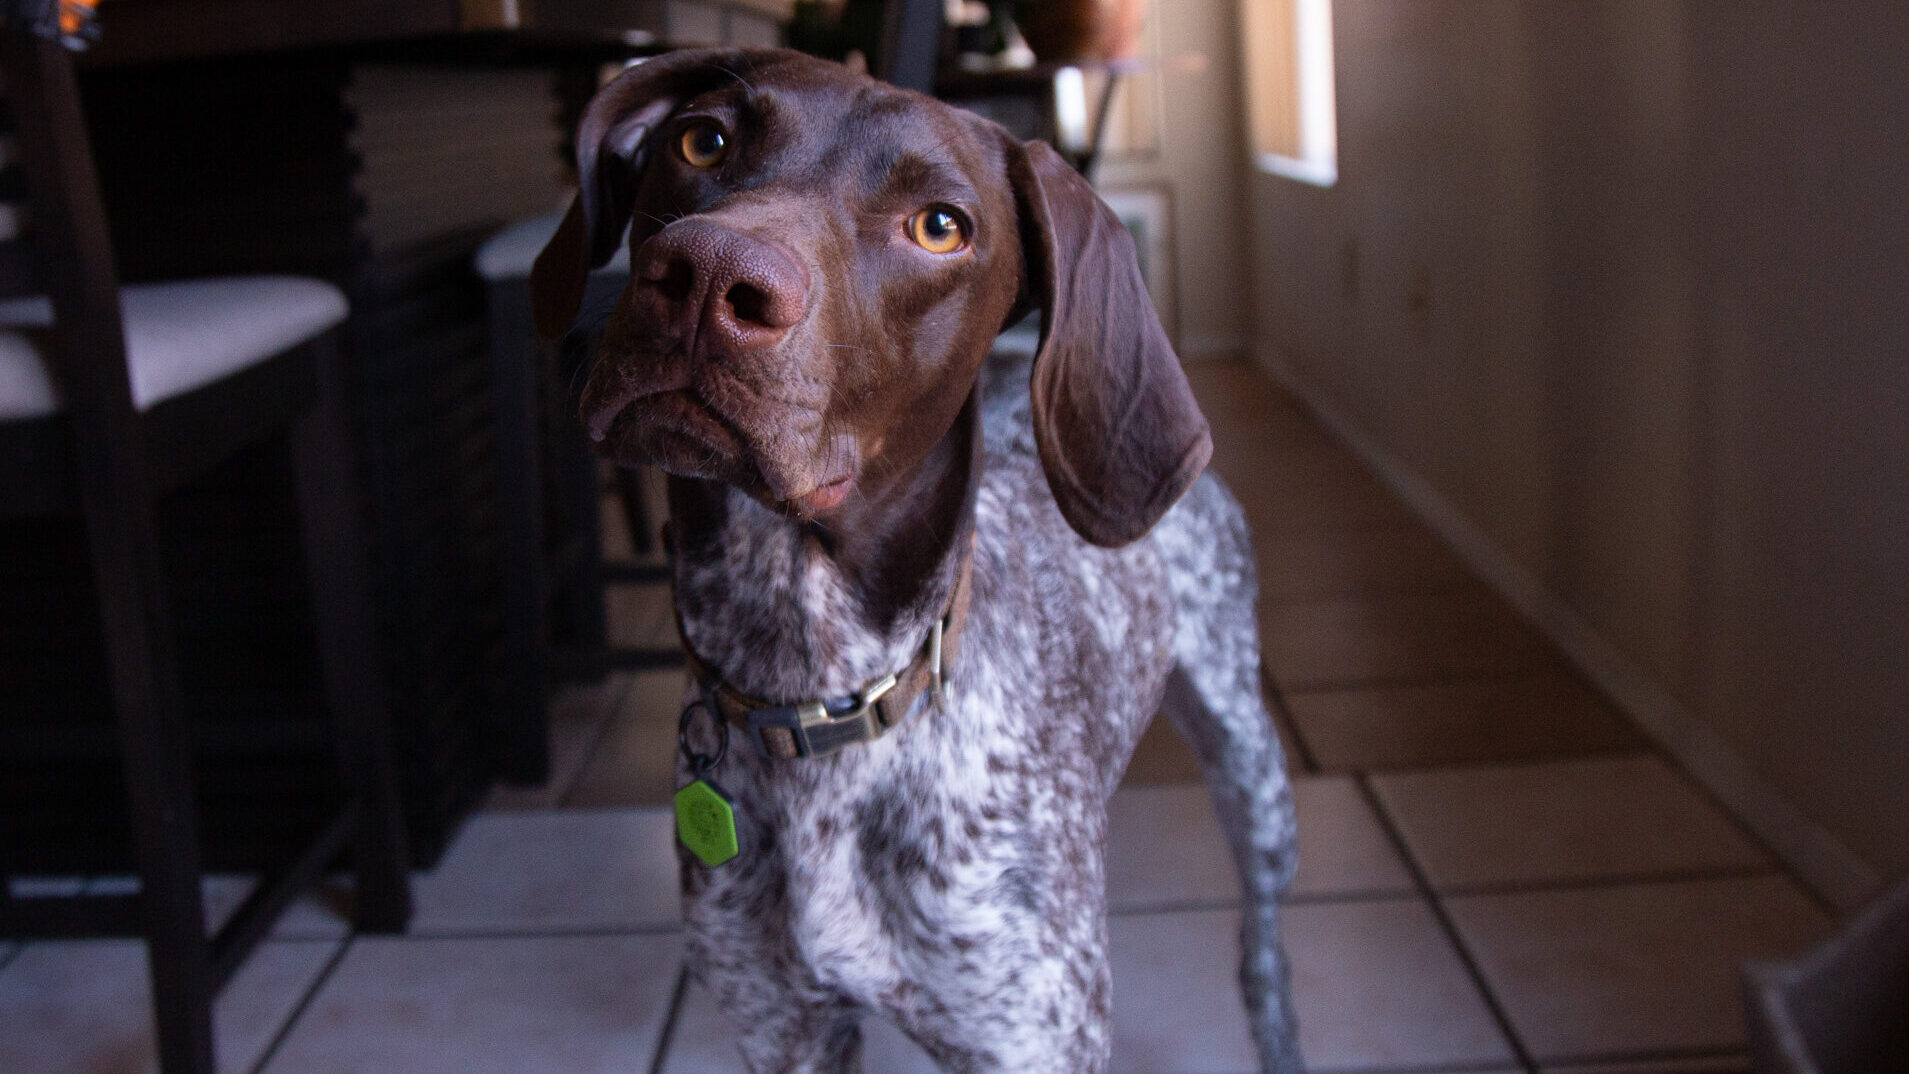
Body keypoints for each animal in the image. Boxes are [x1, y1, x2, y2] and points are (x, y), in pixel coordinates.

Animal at [526, 46, 1298, 1068]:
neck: (813, 689)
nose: (705, 273)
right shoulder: (787, 1030)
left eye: (939, 226)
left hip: (1250, 762)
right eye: (704, 141)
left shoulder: (1029, 1037)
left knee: (1261, 947)